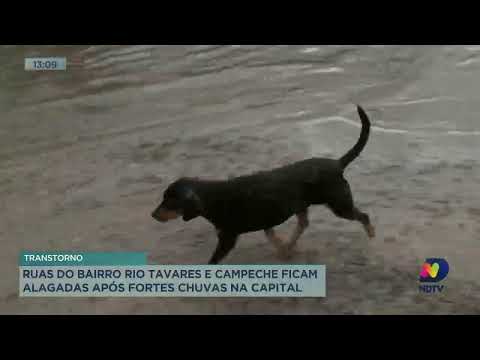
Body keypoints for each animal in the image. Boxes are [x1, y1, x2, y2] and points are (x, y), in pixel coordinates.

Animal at [153, 105, 376, 262]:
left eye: (170, 201)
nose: (153, 215)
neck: (212, 196)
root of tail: (337, 163)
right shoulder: (266, 220)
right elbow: (271, 236)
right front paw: (283, 248)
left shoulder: (227, 238)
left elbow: (213, 262)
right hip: (304, 205)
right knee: (303, 224)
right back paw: (289, 246)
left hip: (340, 204)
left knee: (363, 216)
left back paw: (371, 234)